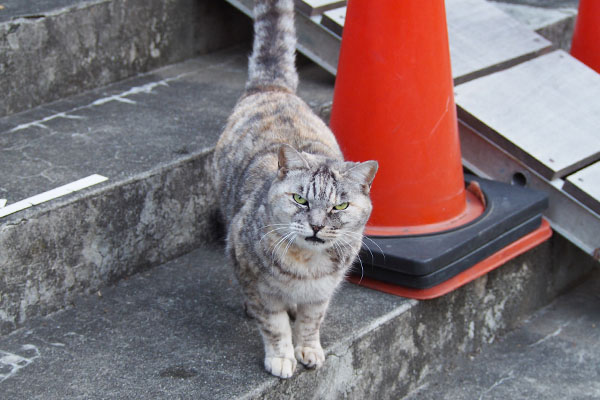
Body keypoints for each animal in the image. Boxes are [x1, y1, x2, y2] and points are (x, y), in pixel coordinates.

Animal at [213, 0, 378, 378]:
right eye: (300, 198)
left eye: (340, 206)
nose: (316, 225)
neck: (308, 266)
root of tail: (273, 88)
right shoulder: (257, 283)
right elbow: (274, 326)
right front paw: (281, 357)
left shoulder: (322, 293)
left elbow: (310, 322)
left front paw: (308, 349)